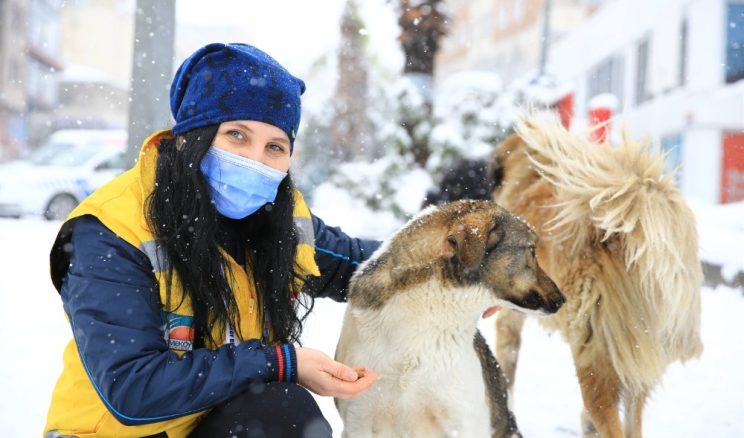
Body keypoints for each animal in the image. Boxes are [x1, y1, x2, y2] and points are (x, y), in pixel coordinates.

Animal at [494, 117, 704, 438]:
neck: (532, 175)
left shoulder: (510, 316)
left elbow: (506, 370)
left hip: (596, 356)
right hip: (636, 360)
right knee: (632, 423)